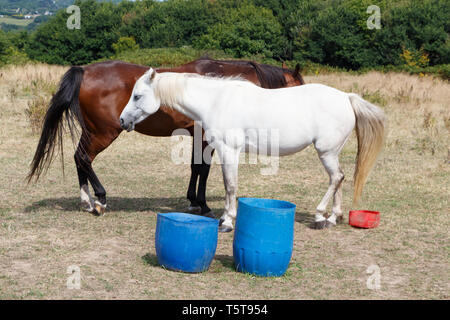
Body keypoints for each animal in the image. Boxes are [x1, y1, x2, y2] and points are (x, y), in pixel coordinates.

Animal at [27, 57, 302, 218]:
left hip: (92, 131)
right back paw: (100, 199)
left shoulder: (198, 136)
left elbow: (195, 167)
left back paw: (87, 200)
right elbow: (202, 168)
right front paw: (202, 204)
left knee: (79, 158)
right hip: (103, 133)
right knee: (84, 158)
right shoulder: (206, 137)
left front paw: (193, 201)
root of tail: (85, 70)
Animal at [120, 69, 386, 231]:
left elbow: (230, 186)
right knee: (338, 179)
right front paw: (224, 217)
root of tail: (346, 98)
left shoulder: (229, 151)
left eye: (137, 96)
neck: (216, 101)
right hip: (332, 153)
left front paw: (227, 222)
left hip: (326, 152)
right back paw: (333, 217)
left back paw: (322, 215)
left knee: (336, 178)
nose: (122, 121)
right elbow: (227, 185)